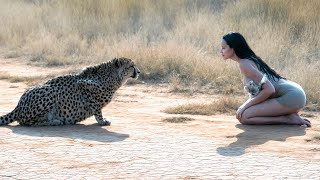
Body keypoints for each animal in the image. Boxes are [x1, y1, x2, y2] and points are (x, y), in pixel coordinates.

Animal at [0, 57, 140, 126]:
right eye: (131, 66)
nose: (139, 72)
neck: (115, 77)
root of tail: (18, 105)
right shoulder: (83, 85)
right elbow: (97, 109)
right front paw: (101, 121)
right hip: (51, 91)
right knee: (24, 121)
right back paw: (54, 122)